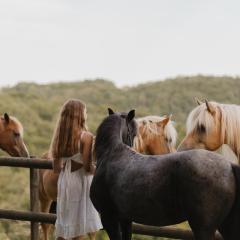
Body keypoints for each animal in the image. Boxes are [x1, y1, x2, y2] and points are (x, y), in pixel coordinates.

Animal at [89, 109, 240, 240]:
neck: (112, 154)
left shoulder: (109, 218)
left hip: (204, 229)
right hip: (226, 226)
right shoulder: (125, 219)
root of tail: (229, 165)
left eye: (135, 133)